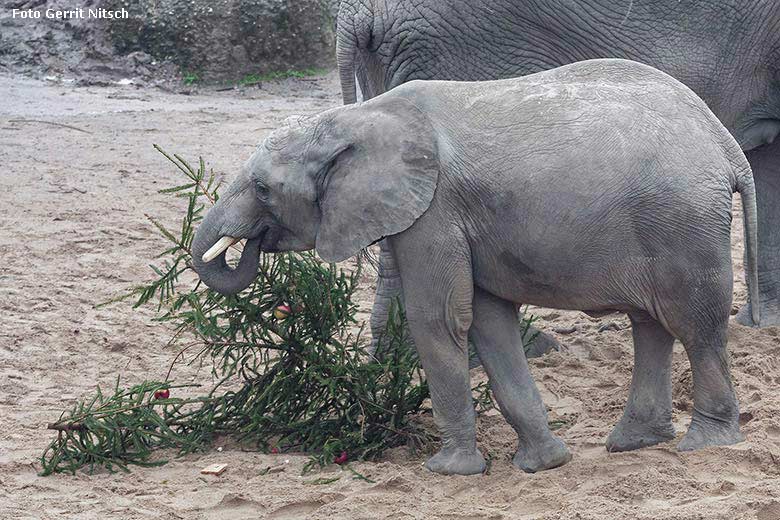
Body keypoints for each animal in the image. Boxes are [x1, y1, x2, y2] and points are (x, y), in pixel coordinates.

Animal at [192, 60, 760, 476]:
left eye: (263, 188)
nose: (250, 242)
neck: (358, 117)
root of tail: (726, 144)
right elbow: (488, 322)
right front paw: (544, 464)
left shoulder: (434, 211)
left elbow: (438, 318)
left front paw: (448, 471)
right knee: (651, 324)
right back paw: (632, 442)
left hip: (683, 219)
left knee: (695, 324)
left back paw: (705, 443)